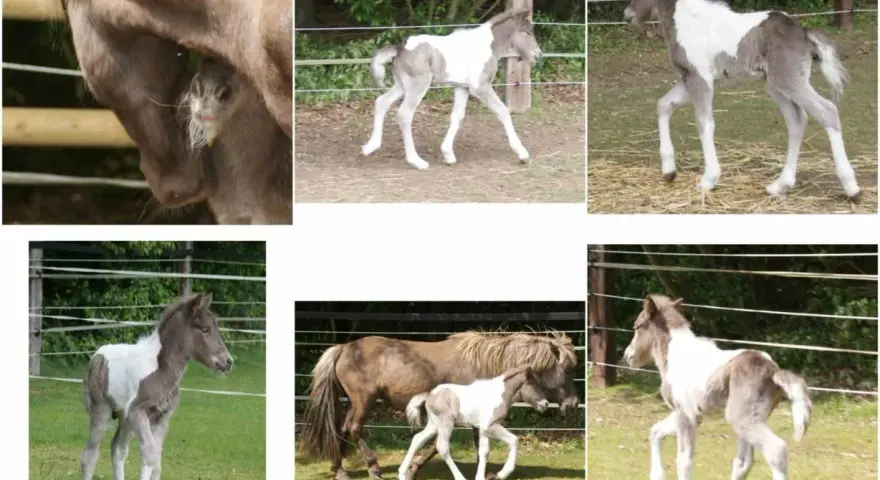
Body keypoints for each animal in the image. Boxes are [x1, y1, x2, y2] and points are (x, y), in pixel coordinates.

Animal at [80, 293, 234, 480]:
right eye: (205, 329)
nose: (228, 362)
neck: (161, 368)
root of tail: (96, 356)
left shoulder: (161, 418)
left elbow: (156, 462)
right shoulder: (138, 412)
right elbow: (151, 455)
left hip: (125, 418)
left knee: (118, 449)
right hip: (102, 412)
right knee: (90, 456)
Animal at [362, 8, 542, 170]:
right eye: (528, 32)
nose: (538, 54)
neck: (487, 46)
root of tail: (400, 49)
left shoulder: (462, 87)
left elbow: (457, 116)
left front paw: (448, 155)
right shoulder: (480, 86)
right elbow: (503, 111)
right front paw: (522, 154)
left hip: (401, 85)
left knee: (382, 102)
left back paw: (370, 147)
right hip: (418, 85)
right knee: (404, 114)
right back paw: (416, 161)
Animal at [400, 365, 551, 480]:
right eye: (534, 384)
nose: (546, 404)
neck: (499, 395)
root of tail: (429, 395)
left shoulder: (483, 430)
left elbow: (484, 451)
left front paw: (480, 477)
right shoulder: (490, 427)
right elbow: (514, 440)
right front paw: (502, 474)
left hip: (433, 424)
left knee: (417, 439)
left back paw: (402, 473)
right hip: (446, 424)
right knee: (442, 447)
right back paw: (460, 478)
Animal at [622, 294, 812, 480]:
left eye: (637, 326)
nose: (628, 356)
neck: (674, 355)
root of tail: (773, 371)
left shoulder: (685, 414)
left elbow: (683, 460)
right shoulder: (688, 414)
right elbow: (656, 431)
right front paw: (657, 475)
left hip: (742, 418)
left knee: (776, 450)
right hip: (754, 419)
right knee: (743, 462)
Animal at [623, 0, 860, 202]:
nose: (627, 16)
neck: (686, 19)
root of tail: (803, 32)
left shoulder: (700, 78)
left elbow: (704, 124)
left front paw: (708, 180)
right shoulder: (688, 79)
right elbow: (663, 105)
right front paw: (669, 171)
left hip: (790, 81)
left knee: (827, 111)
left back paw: (851, 188)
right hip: (775, 86)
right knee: (797, 121)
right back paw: (780, 185)